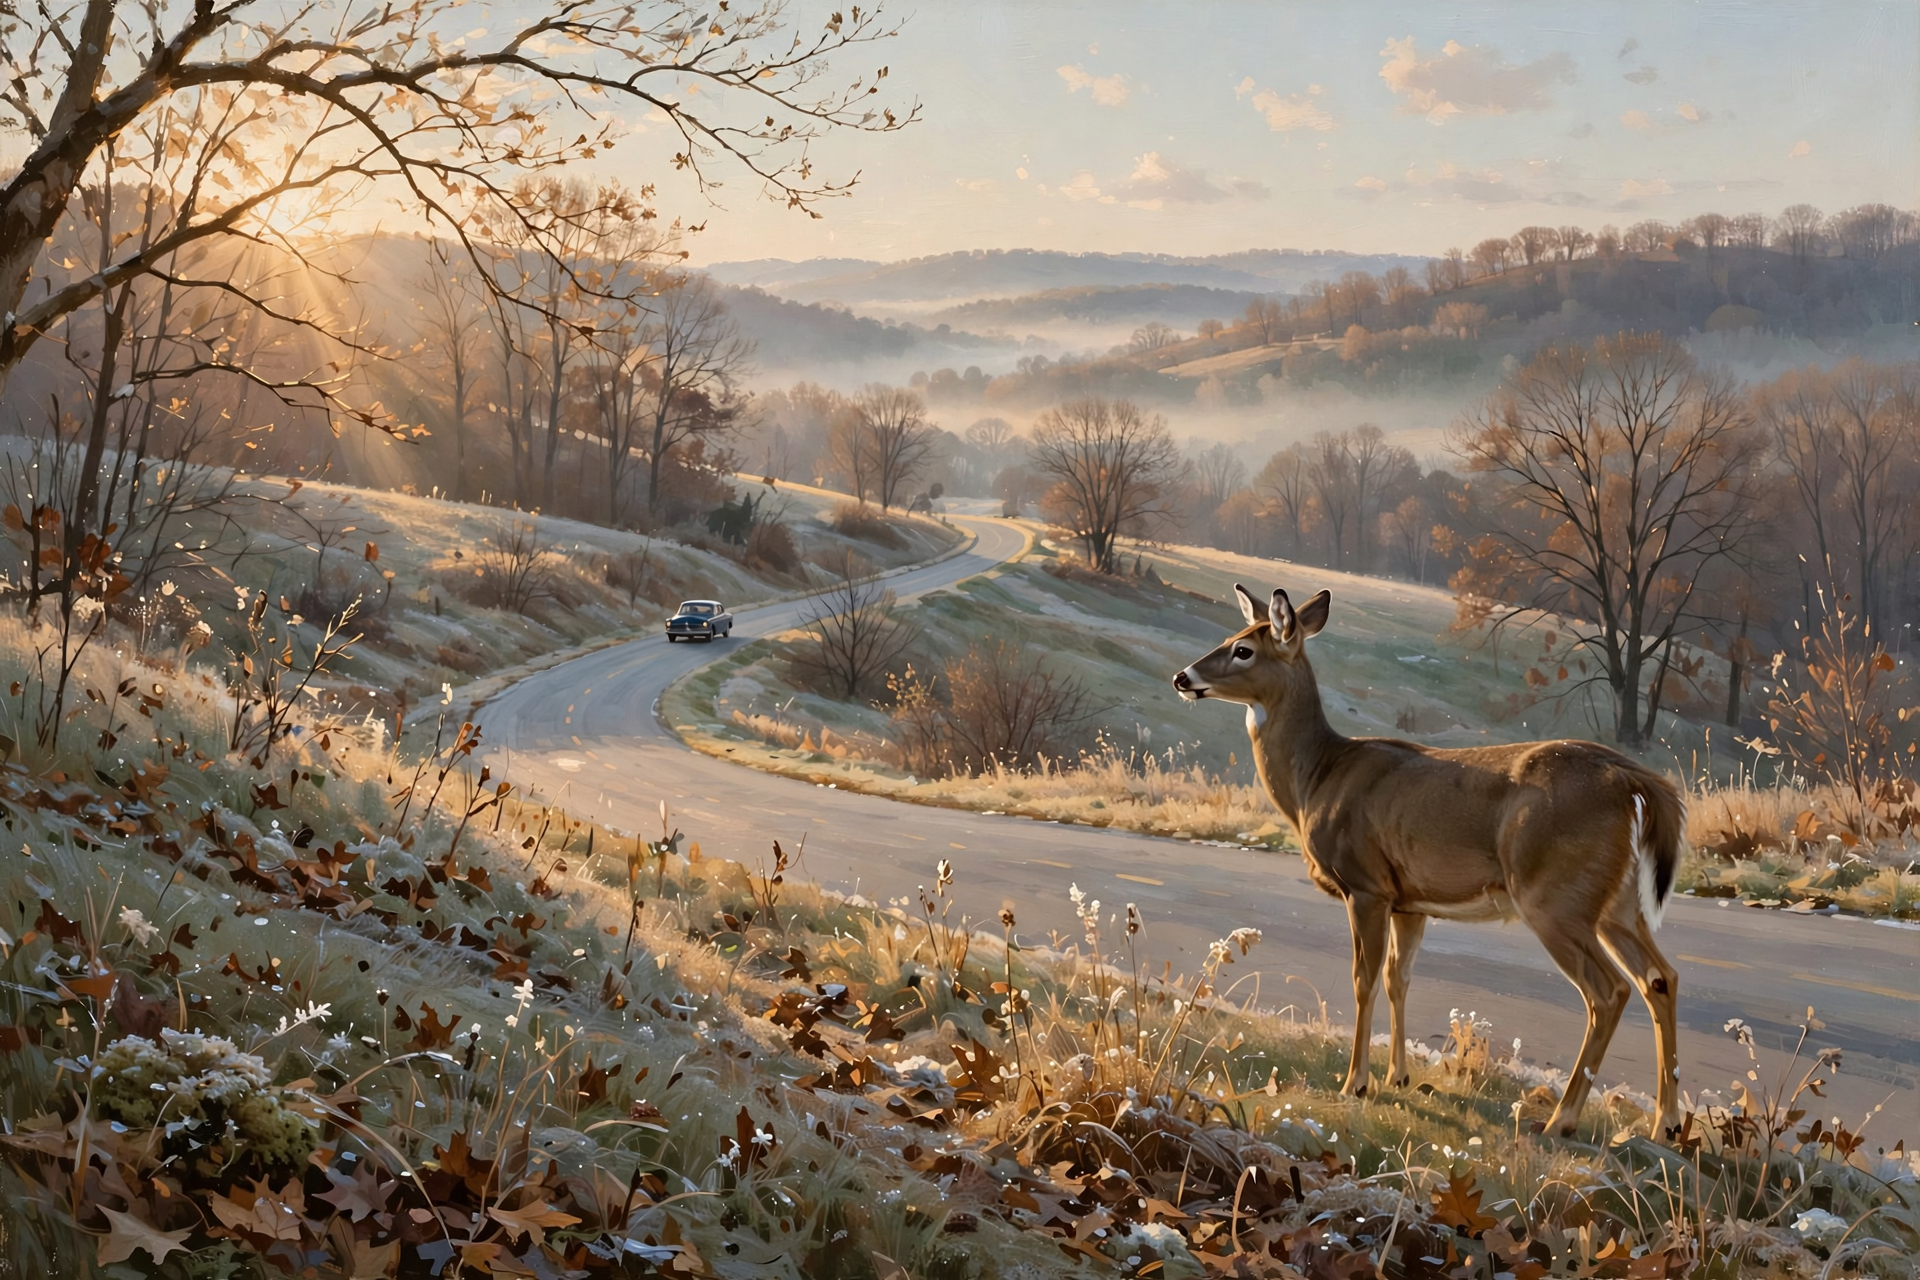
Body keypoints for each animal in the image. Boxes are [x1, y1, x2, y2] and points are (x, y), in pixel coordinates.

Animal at [1172, 584, 1685, 1138]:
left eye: (1243, 649)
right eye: (1233, 636)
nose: (1184, 678)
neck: (1317, 779)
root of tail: (1636, 783)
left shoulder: (1366, 885)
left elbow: (1363, 980)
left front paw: (1355, 1083)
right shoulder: (1409, 902)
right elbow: (1399, 979)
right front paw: (1396, 1077)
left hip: (1555, 896)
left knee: (1609, 991)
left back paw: (1561, 1120)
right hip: (1617, 903)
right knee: (1660, 977)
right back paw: (1666, 1124)